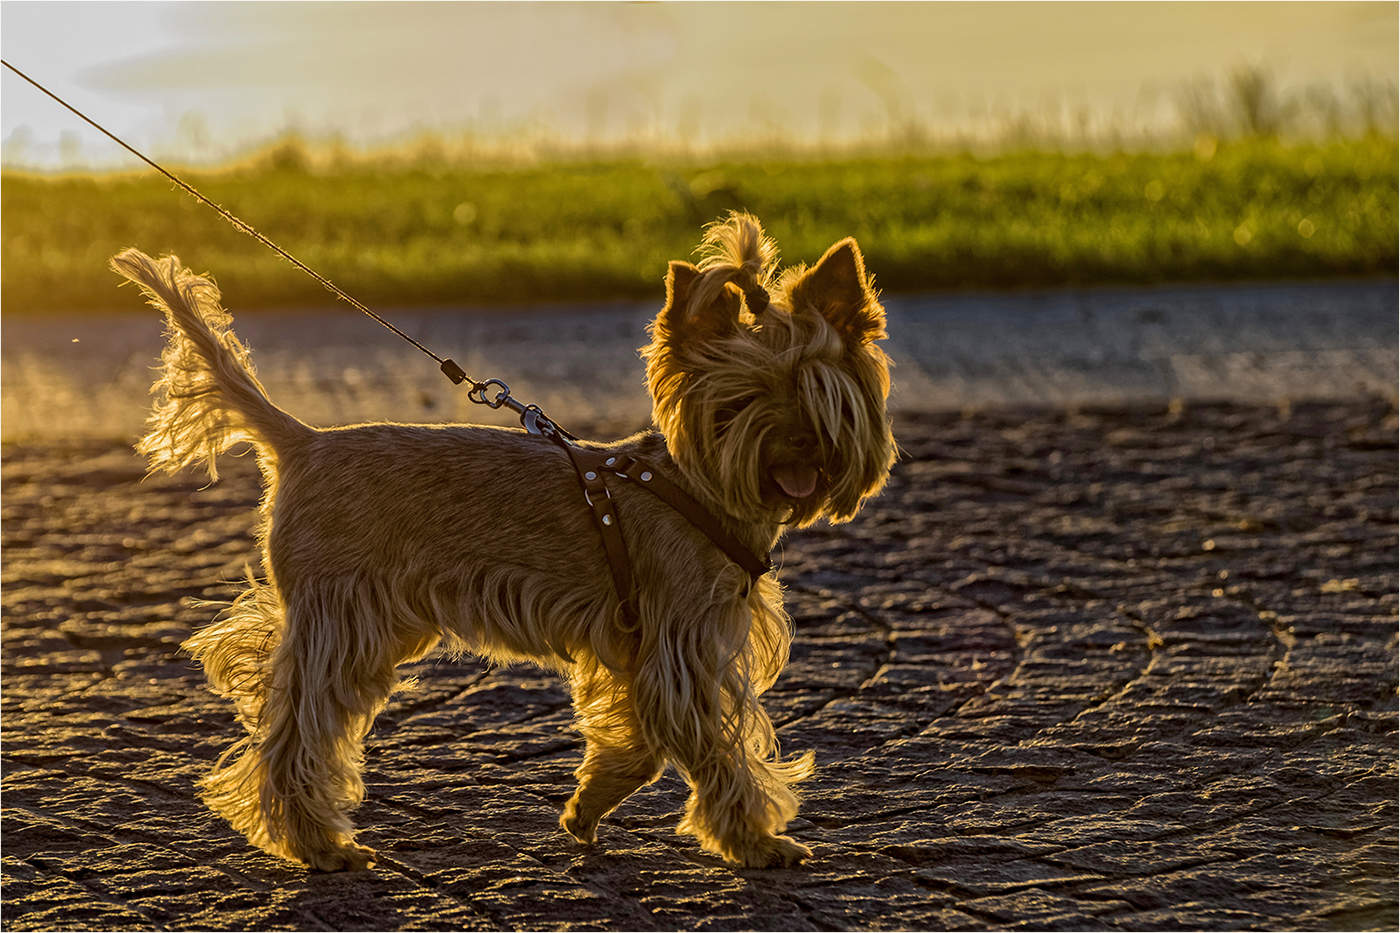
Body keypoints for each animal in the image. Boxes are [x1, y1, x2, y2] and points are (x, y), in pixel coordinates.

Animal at [112, 214, 896, 868]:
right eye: (739, 402)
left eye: (821, 388)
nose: (800, 443)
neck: (701, 486)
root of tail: (303, 442)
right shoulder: (682, 640)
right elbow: (713, 746)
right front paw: (758, 841)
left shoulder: (640, 647)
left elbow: (640, 743)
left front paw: (587, 806)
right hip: (344, 613)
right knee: (294, 734)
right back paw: (319, 843)